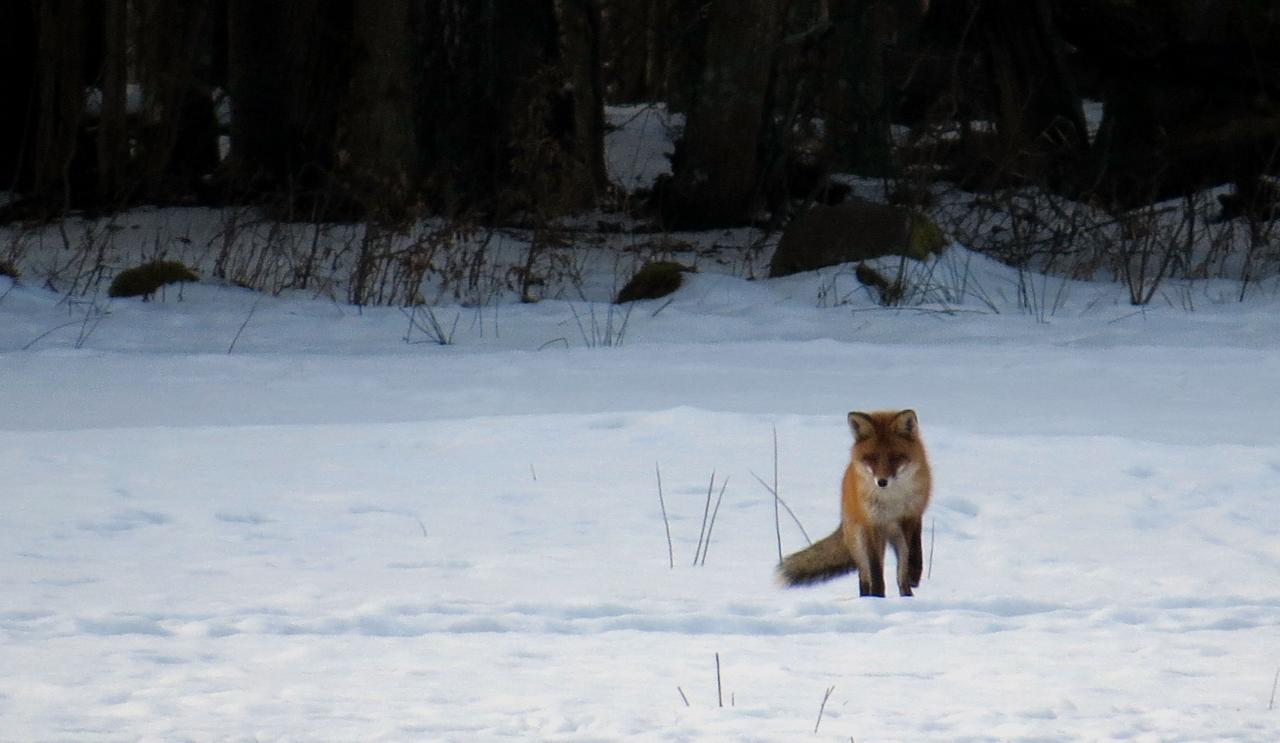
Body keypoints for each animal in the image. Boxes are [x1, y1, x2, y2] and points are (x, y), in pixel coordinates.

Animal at [773, 409, 936, 594]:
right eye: (871, 458)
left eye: (895, 458)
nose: (881, 482)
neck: (891, 500)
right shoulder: (872, 525)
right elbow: (876, 571)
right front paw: (877, 597)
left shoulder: (910, 518)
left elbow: (904, 566)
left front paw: (908, 589)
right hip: (859, 541)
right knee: (864, 577)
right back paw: (866, 596)